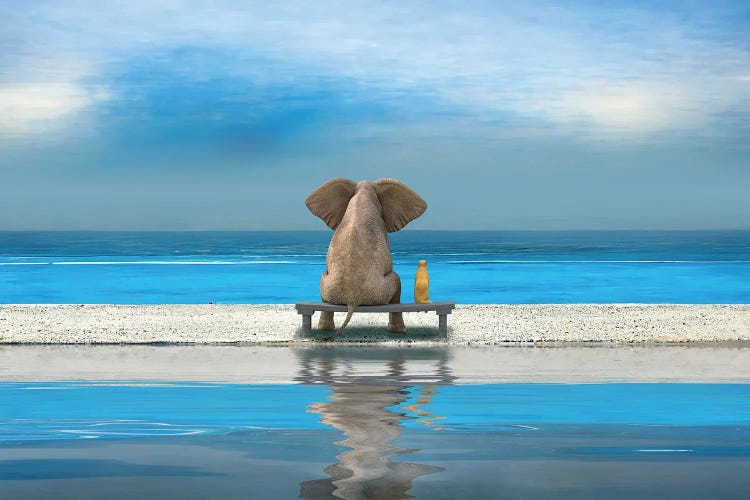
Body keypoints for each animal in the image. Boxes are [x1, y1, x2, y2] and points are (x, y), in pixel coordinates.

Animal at [305, 178, 427, 339]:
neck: (363, 191)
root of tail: (352, 300)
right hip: (379, 291)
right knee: (397, 281)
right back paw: (399, 331)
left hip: (328, 285)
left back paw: (324, 329)